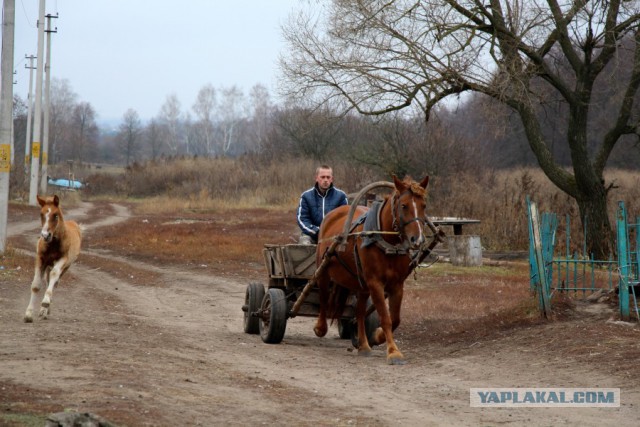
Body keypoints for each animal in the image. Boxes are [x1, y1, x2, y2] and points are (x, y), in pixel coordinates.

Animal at [316, 176, 430, 366]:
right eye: (404, 205)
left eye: (424, 205)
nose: (418, 239)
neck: (387, 242)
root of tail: (334, 213)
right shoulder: (375, 283)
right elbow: (385, 318)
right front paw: (393, 352)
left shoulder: (396, 284)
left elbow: (395, 319)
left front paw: (377, 336)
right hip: (324, 270)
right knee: (324, 299)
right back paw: (320, 327)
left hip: (361, 283)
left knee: (360, 312)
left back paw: (363, 345)